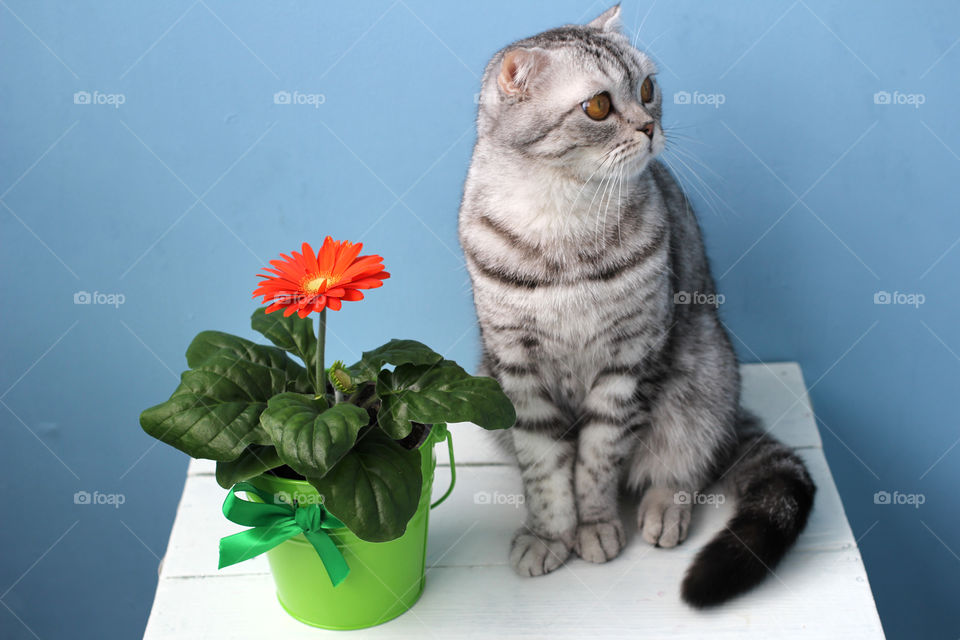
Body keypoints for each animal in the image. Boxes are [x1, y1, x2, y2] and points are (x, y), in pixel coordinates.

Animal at [460, 3, 816, 604]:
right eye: (599, 106)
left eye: (648, 89)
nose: (649, 126)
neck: (563, 217)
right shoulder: (517, 372)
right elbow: (544, 469)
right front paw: (549, 534)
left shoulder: (629, 359)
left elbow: (597, 460)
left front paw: (596, 525)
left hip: (703, 375)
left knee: (689, 462)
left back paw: (664, 507)